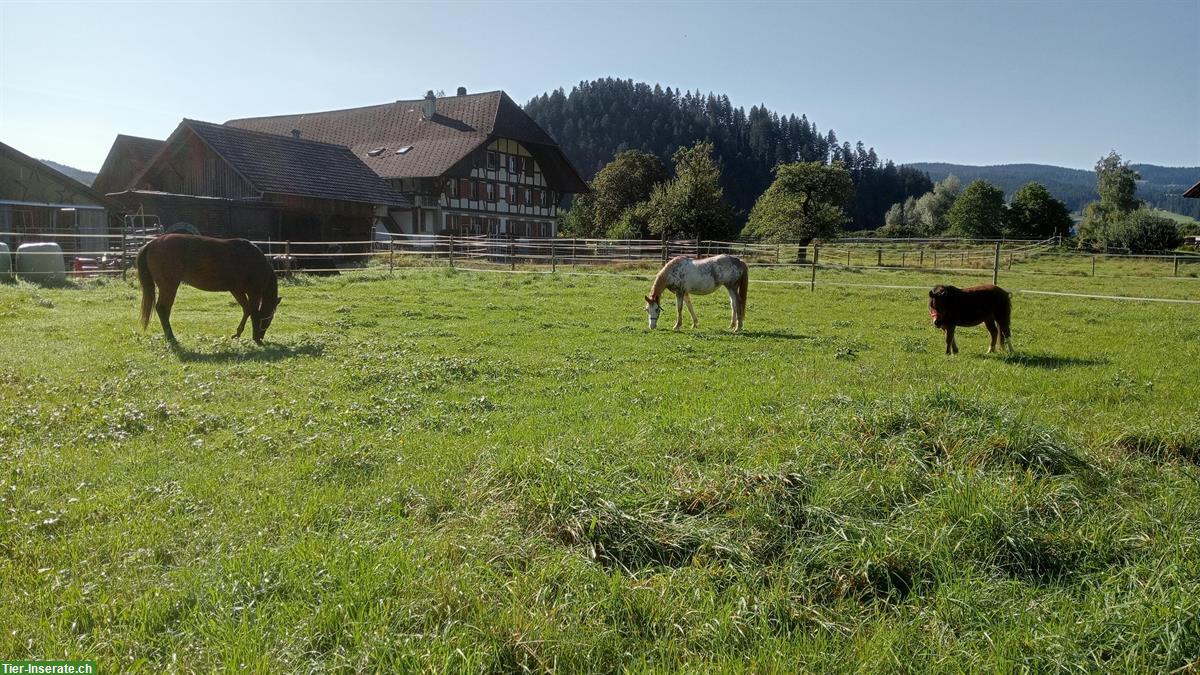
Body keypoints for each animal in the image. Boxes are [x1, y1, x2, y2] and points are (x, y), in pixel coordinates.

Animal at [137, 234, 282, 343]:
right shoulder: (254, 293)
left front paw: (238, 334)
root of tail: (151, 243)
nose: (261, 336)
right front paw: (255, 338)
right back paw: (171, 336)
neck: (256, 262)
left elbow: (247, 310)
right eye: (270, 317)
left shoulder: (237, 291)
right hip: (169, 286)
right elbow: (254, 313)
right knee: (163, 308)